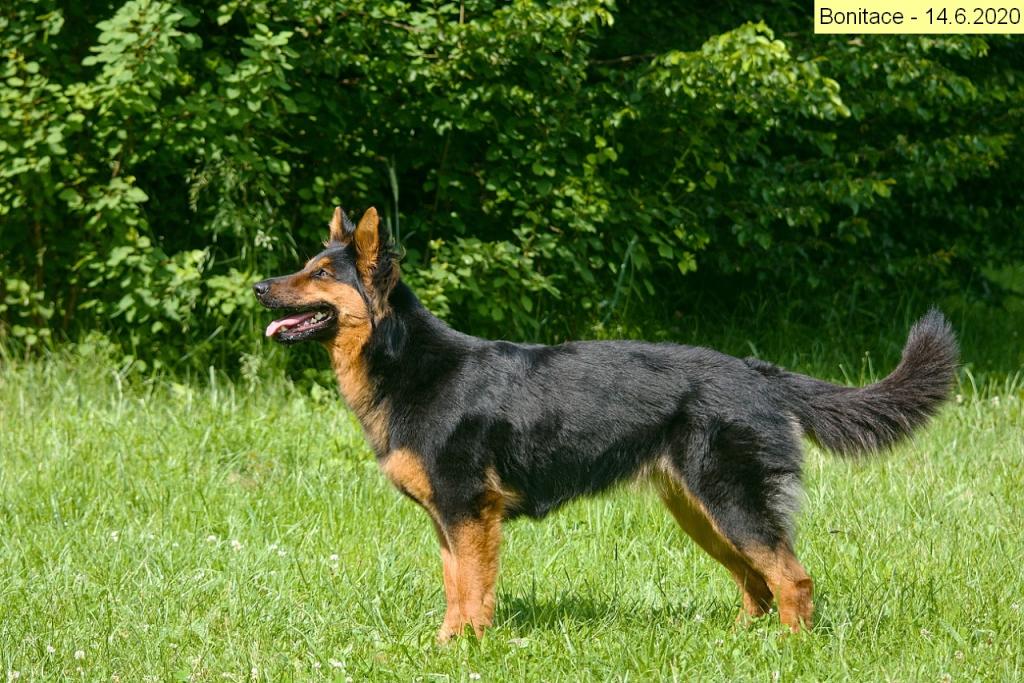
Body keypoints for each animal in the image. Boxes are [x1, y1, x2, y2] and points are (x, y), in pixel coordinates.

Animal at [253, 206, 958, 641]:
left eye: (320, 273)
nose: (259, 288)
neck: (406, 363)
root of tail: (757, 371)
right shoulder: (450, 521)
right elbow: (457, 585)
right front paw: (450, 643)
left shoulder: (467, 513)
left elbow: (474, 589)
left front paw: (465, 647)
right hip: (701, 513)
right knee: (757, 583)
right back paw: (740, 646)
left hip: (730, 504)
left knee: (793, 578)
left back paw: (789, 651)